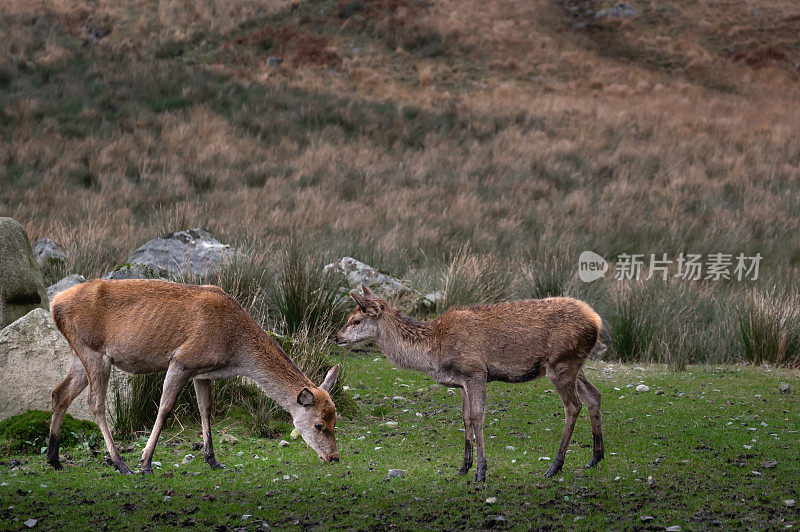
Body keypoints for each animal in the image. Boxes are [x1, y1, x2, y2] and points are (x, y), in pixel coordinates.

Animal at [47, 278, 340, 474]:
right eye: (318, 425)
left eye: (335, 420)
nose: (334, 457)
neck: (234, 349)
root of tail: (54, 303)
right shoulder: (182, 361)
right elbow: (165, 407)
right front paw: (145, 461)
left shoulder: (203, 372)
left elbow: (205, 408)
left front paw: (213, 460)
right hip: (95, 352)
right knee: (95, 402)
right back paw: (121, 463)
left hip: (79, 354)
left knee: (60, 392)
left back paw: (54, 459)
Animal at [334, 286, 604, 482]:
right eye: (348, 318)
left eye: (356, 320)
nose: (336, 337)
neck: (434, 352)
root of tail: (597, 320)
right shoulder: (461, 382)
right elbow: (464, 418)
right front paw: (464, 467)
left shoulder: (476, 372)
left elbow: (477, 417)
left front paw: (481, 472)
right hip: (574, 364)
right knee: (594, 395)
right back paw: (595, 458)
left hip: (561, 363)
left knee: (573, 406)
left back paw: (555, 467)